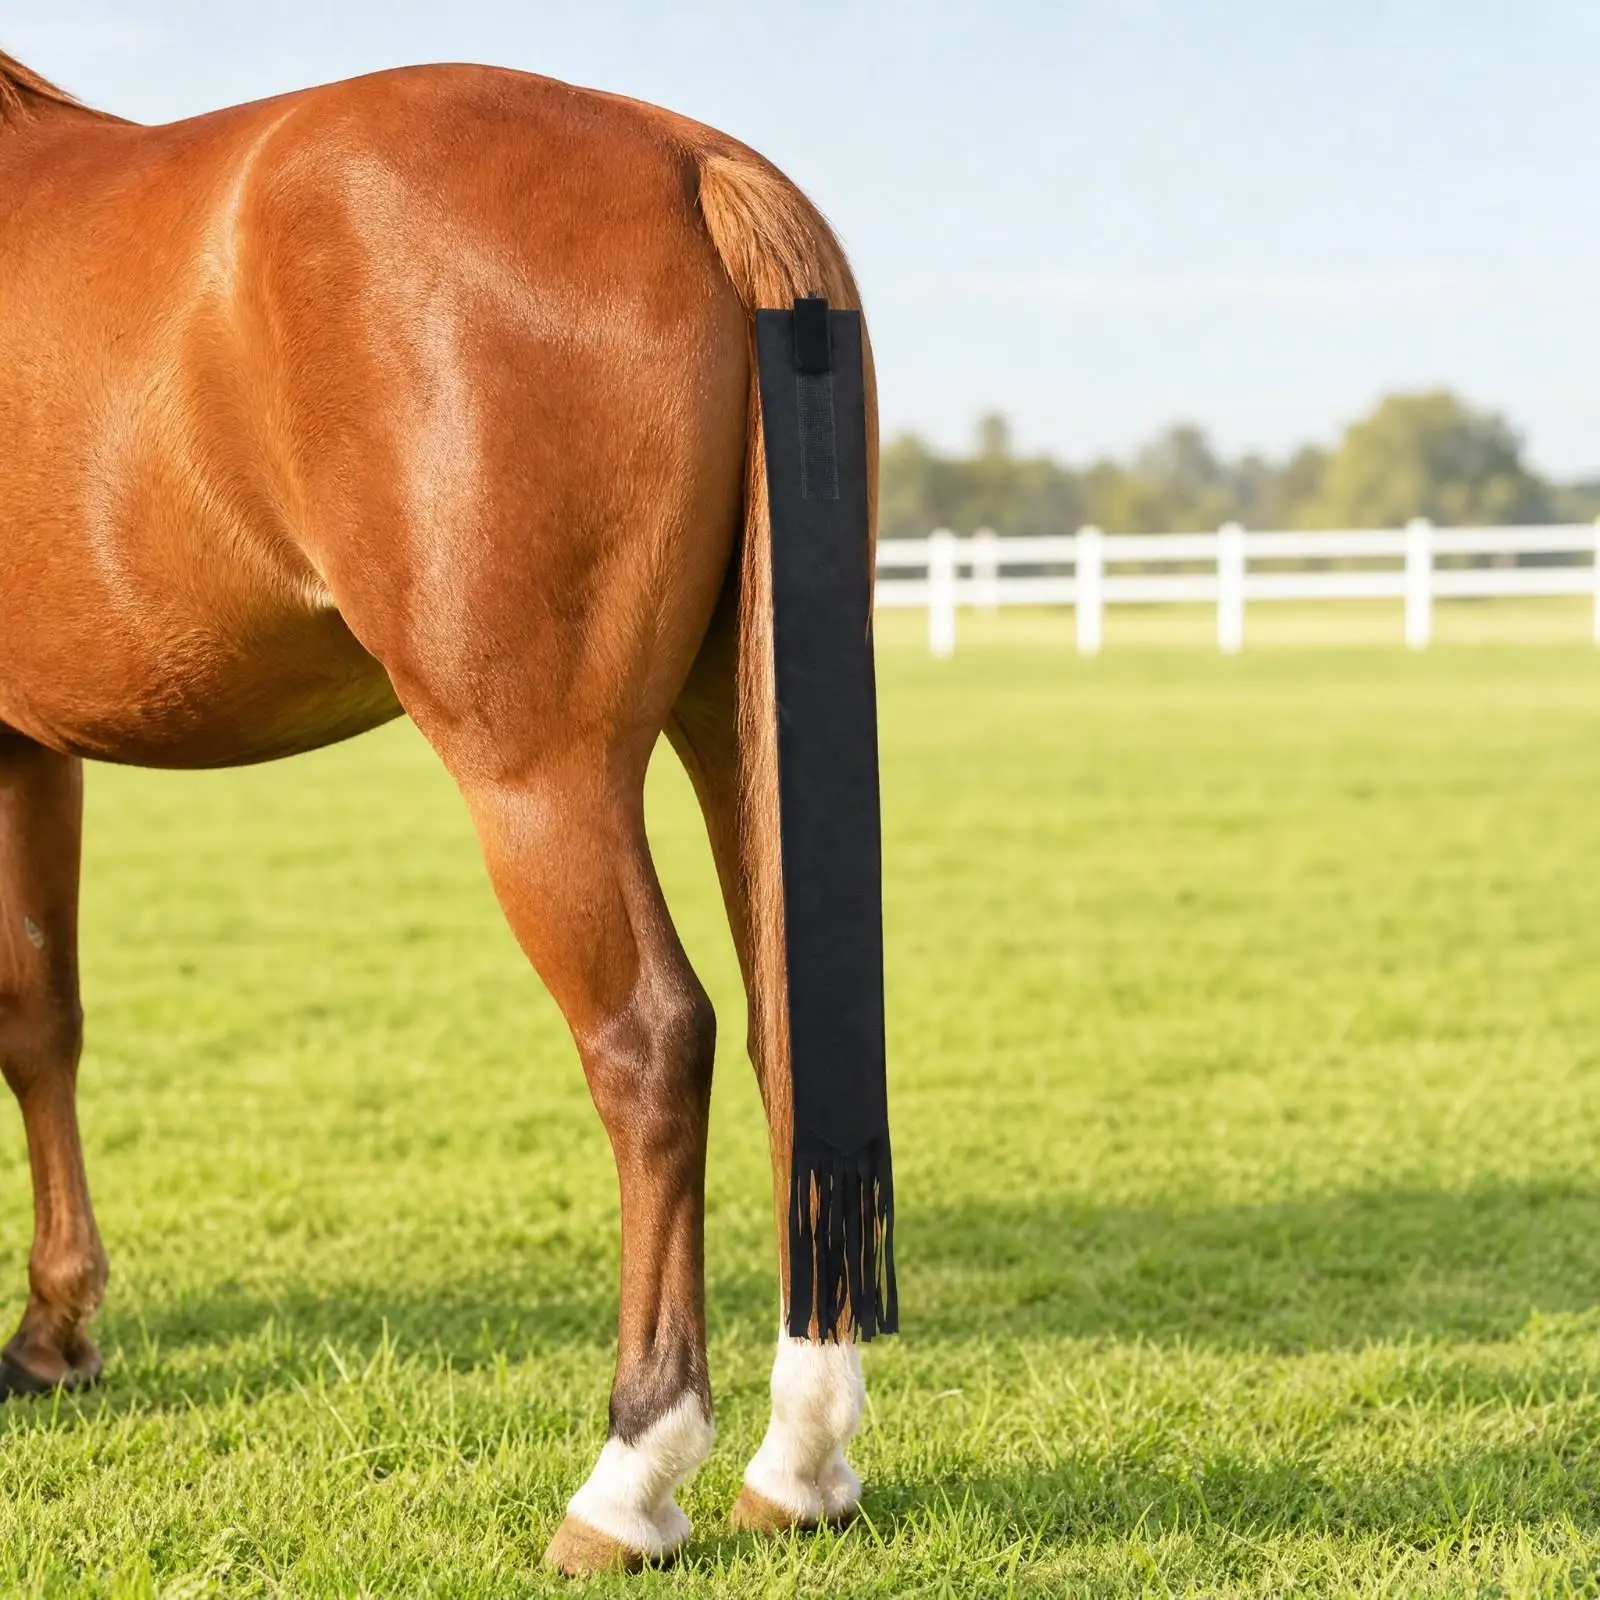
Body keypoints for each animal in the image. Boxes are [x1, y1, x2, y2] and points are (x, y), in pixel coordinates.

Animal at [0, 49, 879, 1574]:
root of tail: (689, 159)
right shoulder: (34, 744)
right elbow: (43, 1017)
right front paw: (55, 1331)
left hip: (537, 775)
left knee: (654, 1041)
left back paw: (628, 1479)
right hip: (738, 727)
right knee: (785, 1030)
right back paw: (799, 1461)